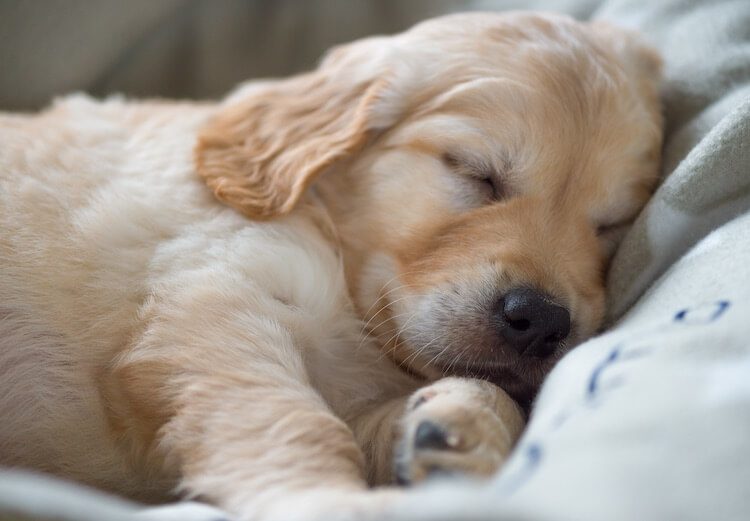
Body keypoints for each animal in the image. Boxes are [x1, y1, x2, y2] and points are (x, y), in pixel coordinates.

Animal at [0, 11, 660, 520]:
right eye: (476, 173)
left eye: (608, 224)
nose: (542, 320)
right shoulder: (213, 297)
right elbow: (290, 421)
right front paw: (332, 501)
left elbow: (436, 401)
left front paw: (455, 425)